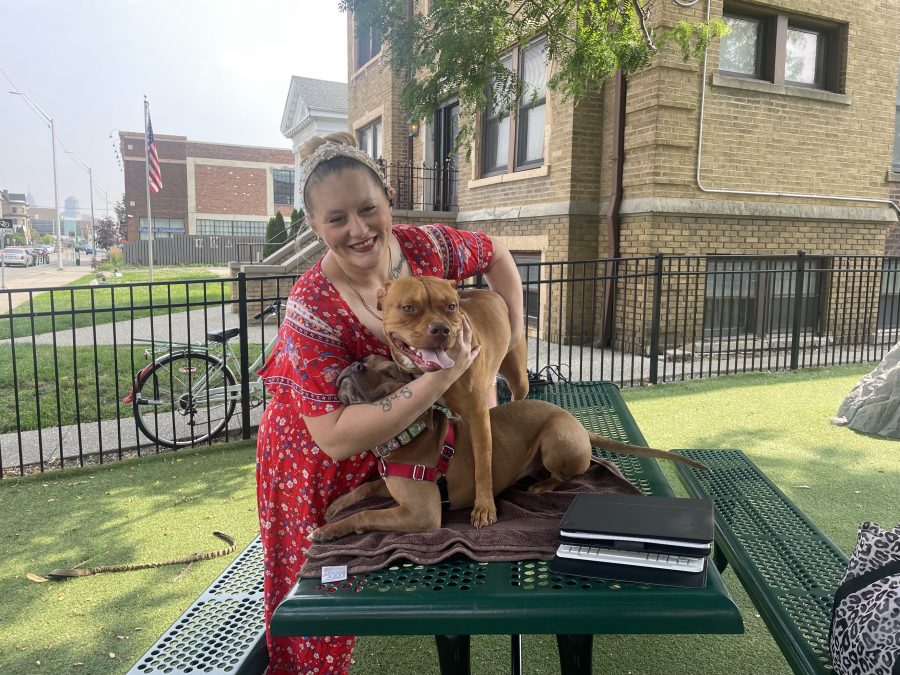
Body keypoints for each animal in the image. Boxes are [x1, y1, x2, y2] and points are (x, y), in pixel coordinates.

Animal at [312, 354, 708, 544]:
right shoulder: (388, 483)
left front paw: (331, 530)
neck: (407, 435)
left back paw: (542, 484)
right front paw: (335, 506)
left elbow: (366, 514)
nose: (353, 364)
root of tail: (580, 426)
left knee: (569, 473)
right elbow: (364, 489)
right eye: (365, 358)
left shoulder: (422, 514)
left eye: (390, 373)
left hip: (555, 438)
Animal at [378, 274, 532, 528]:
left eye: (451, 306)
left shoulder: (478, 415)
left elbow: (483, 464)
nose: (440, 329)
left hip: (519, 376)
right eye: (408, 308)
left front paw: (484, 507)